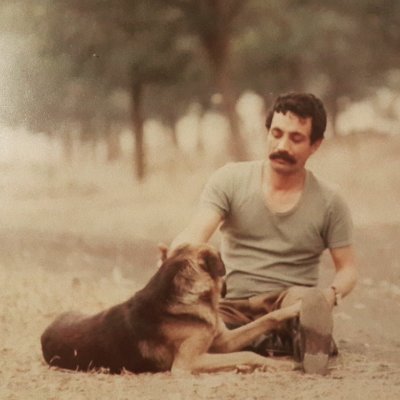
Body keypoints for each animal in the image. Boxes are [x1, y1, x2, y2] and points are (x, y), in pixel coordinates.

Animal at [41, 244, 300, 376]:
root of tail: (44, 335)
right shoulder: (188, 363)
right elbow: (248, 353)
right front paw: (285, 364)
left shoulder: (224, 341)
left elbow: (267, 318)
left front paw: (295, 308)